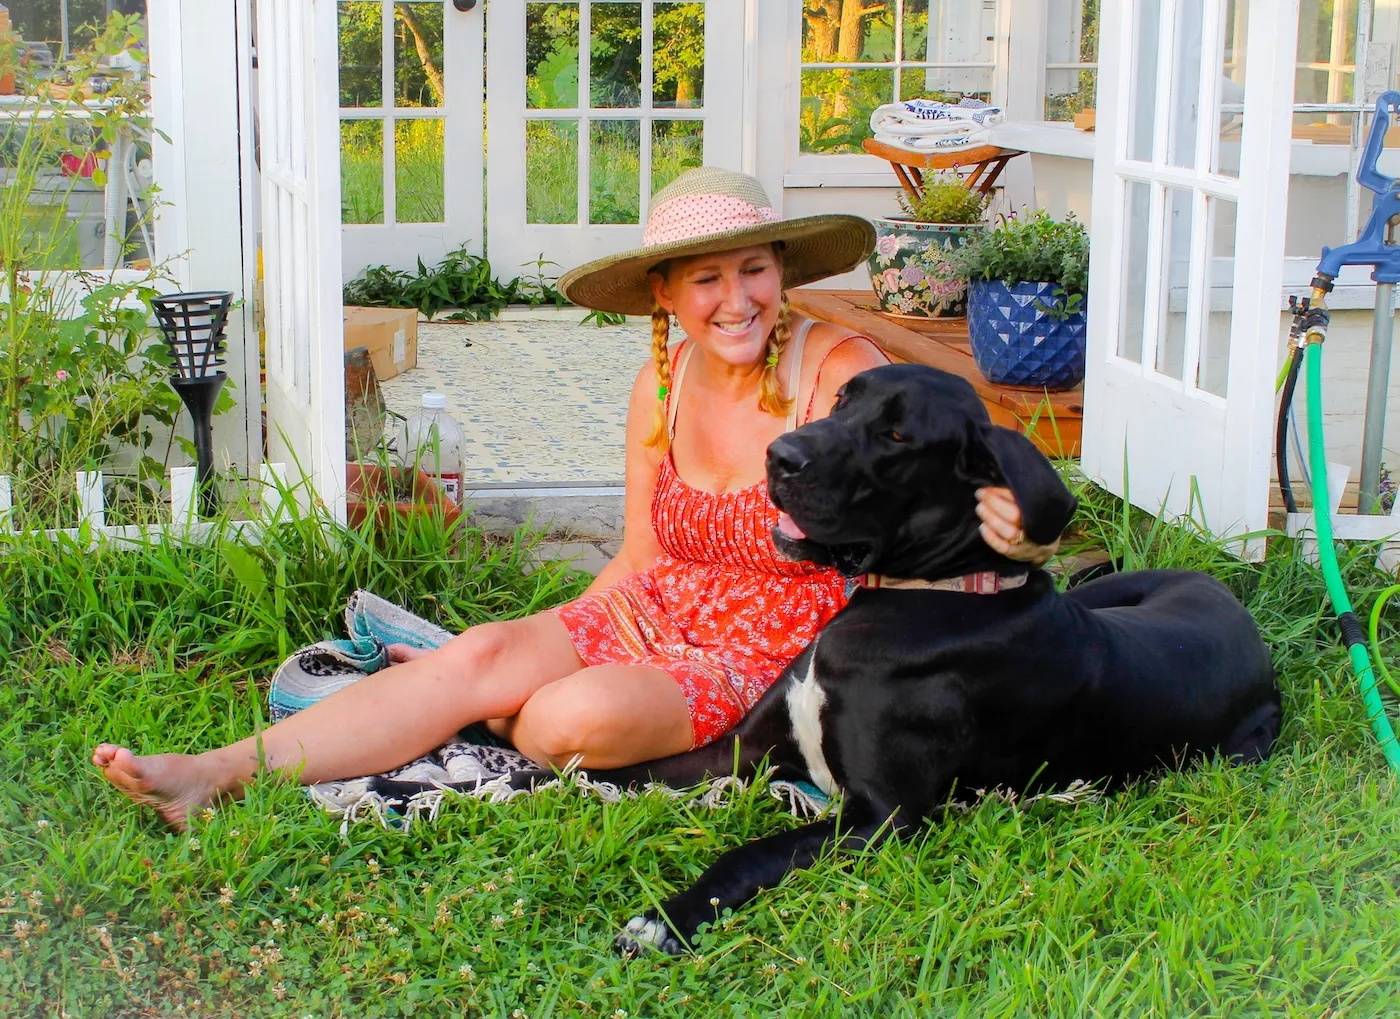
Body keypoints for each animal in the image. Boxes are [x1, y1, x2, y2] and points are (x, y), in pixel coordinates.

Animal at [512, 363, 1282, 957]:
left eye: (897, 436)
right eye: (841, 400)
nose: (779, 455)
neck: (923, 594)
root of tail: (1232, 602)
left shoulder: (882, 818)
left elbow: (752, 850)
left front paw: (668, 918)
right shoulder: (743, 749)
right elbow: (633, 771)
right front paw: (524, 776)